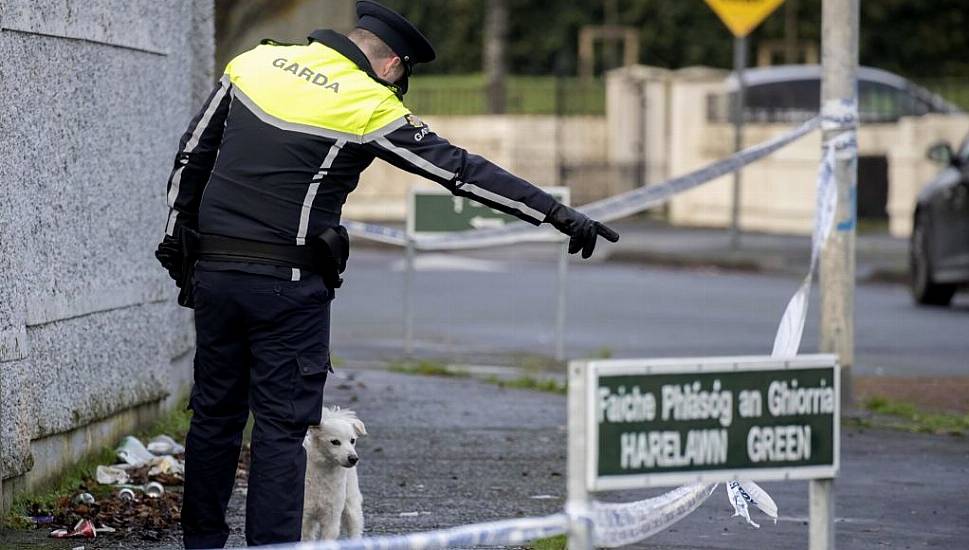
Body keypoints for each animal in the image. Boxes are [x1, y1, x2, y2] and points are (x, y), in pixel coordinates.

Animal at [300, 408, 364, 540]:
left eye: (352, 440)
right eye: (335, 442)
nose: (353, 458)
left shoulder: (332, 517)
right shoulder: (304, 517)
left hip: (351, 503)